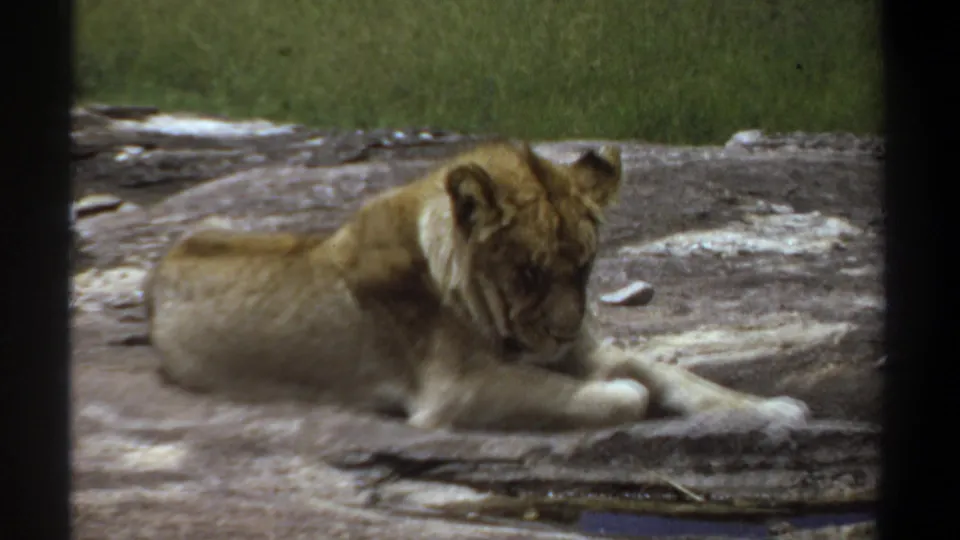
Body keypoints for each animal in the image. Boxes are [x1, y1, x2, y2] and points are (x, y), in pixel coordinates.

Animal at [146, 141, 810, 431]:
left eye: (585, 268)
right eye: (529, 272)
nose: (563, 331)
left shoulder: (580, 349)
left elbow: (675, 374)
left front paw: (772, 407)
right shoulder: (455, 390)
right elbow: (622, 393)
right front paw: (623, 394)